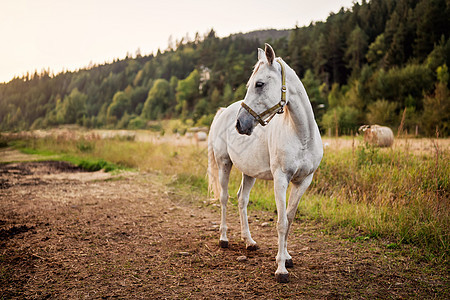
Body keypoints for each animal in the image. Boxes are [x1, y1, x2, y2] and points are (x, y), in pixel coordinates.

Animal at [207, 43, 324, 282]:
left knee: (241, 199)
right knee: (224, 198)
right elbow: (281, 222)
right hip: (224, 164)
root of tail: (224, 112)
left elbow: (289, 219)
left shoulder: (304, 181)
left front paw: (287, 257)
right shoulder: (280, 179)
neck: (301, 135)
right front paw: (281, 269)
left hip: (248, 172)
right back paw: (223, 239)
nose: (240, 124)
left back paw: (249, 242)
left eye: (259, 84)